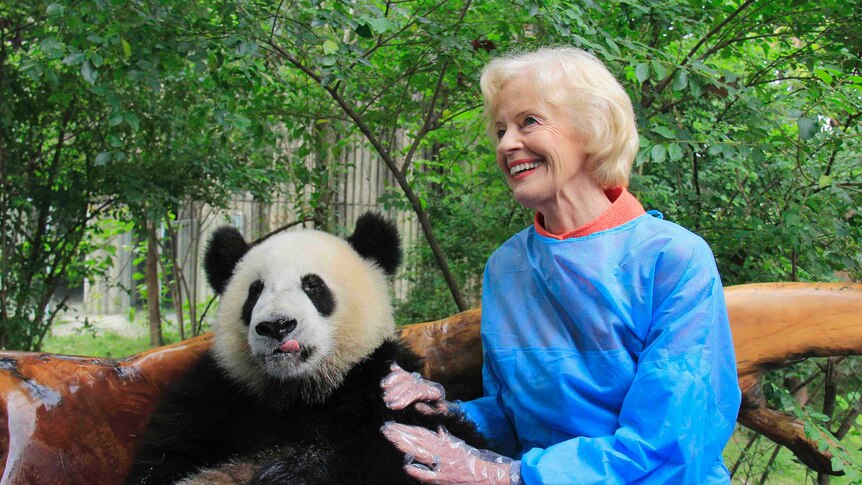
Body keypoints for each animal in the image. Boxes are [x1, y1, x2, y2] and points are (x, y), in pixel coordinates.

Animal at [125, 214, 486, 482]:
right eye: (255, 291)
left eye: (313, 286)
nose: (277, 326)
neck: (300, 390)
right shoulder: (218, 393)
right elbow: (162, 460)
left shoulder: (384, 384)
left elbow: (397, 452)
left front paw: (289, 472)